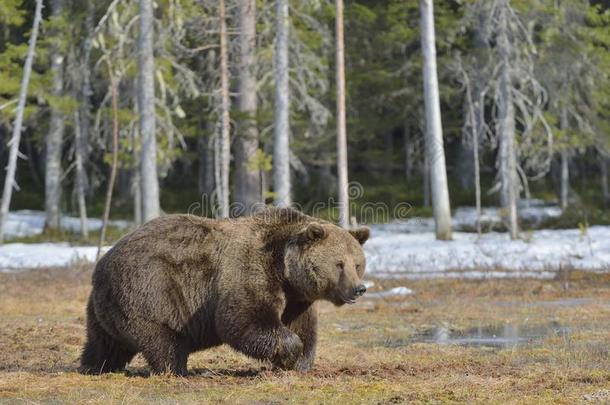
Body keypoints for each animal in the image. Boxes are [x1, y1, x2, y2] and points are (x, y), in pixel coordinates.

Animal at [78, 207, 368, 374]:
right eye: (339, 264)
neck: (284, 271)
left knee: (104, 342)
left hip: (105, 307)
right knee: (162, 340)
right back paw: (179, 370)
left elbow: (302, 327)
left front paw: (299, 364)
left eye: (357, 263)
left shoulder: (298, 298)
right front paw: (289, 351)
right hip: (149, 290)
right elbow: (243, 319)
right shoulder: (249, 271)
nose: (359, 288)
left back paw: (94, 366)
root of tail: (102, 264)